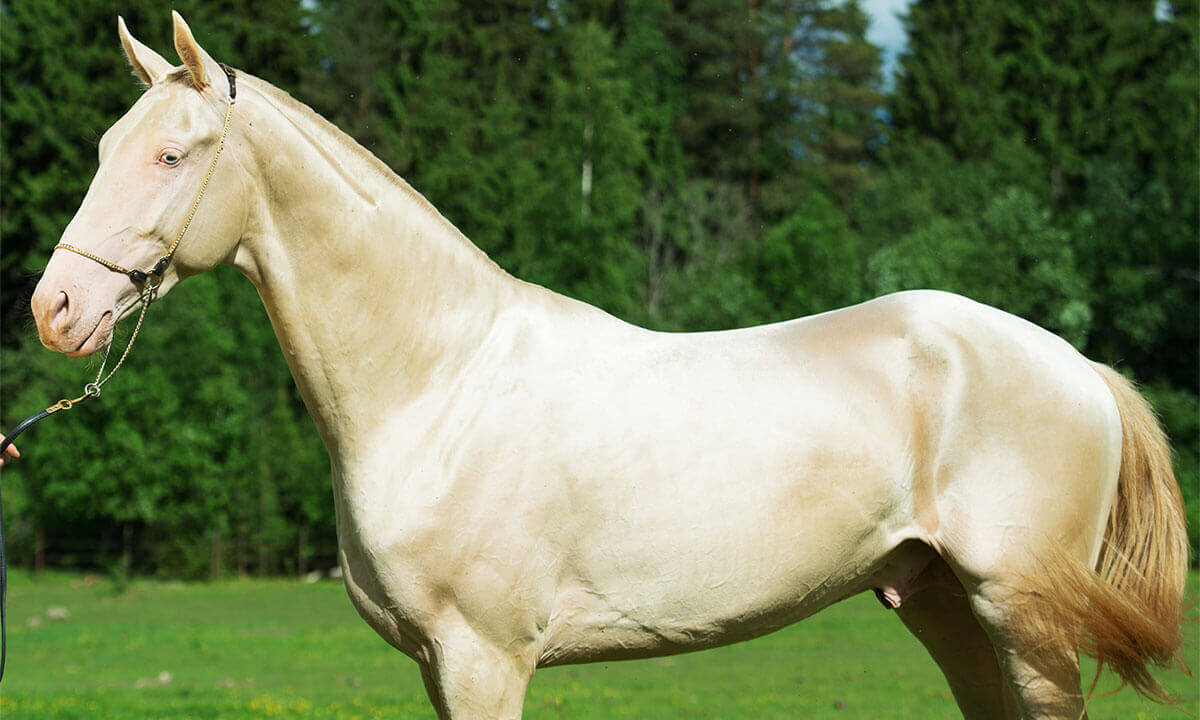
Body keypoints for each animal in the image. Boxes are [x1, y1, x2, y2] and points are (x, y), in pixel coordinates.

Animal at [27, 13, 1187, 719]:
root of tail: (1078, 367)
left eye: (171, 155)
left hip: (1022, 614)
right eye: (103, 148)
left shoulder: (484, 658)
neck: (438, 384)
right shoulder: (437, 664)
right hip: (944, 603)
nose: (56, 309)